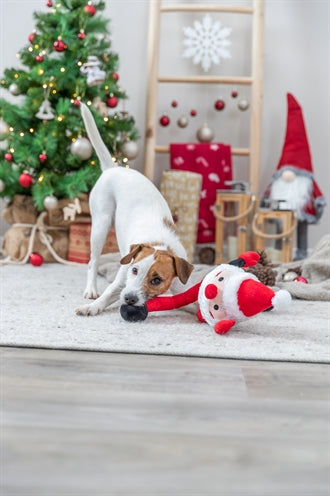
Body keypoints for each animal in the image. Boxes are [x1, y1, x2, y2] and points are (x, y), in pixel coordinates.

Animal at [75, 103, 193, 318]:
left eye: (157, 280)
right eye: (135, 270)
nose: (129, 298)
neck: (159, 242)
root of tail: (113, 168)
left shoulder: (182, 288)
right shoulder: (123, 277)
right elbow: (107, 294)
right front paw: (92, 307)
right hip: (100, 224)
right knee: (93, 261)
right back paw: (91, 290)